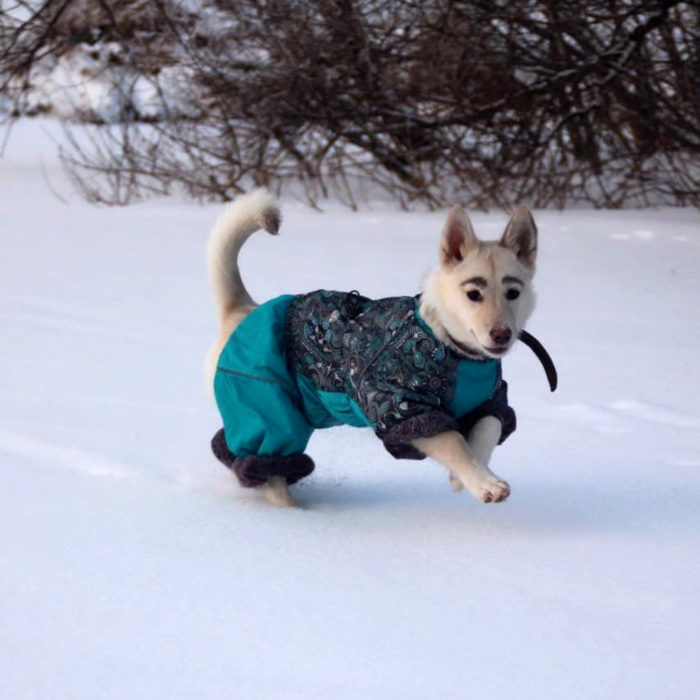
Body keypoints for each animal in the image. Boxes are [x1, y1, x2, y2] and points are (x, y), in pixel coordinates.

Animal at [205, 189, 540, 506]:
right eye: (474, 294)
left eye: (513, 293)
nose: (501, 334)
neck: (447, 344)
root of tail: (244, 309)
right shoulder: (400, 404)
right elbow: (454, 443)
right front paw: (483, 482)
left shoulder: (487, 399)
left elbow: (488, 428)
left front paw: (469, 475)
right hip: (265, 405)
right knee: (267, 464)